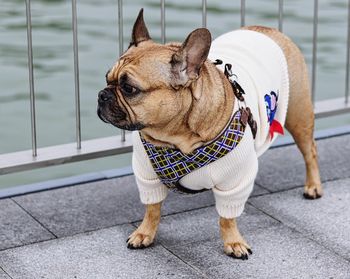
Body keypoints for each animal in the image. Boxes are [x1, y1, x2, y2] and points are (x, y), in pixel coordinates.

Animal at [97, 9, 324, 262]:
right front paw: (144, 233)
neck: (175, 138)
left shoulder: (235, 181)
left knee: (310, 151)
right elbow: (152, 208)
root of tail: (268, 30)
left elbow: (227, 218)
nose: (102, 95)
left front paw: (233, 242)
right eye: (107, 78)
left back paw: (313, 186)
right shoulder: (147, 176)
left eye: (129, 89)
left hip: (299, 114)